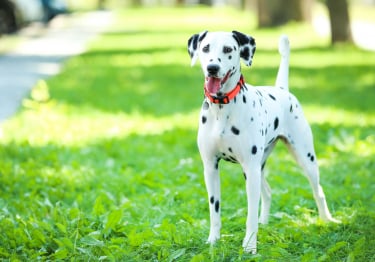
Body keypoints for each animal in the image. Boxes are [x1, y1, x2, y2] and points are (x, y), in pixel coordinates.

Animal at [188, 30, 340, 254]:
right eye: (205, 48)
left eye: (228, 49)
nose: (212, 68)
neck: (222, 109)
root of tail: (282, 88)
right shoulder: (211, 167)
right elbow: (214, 210)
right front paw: (213, 241)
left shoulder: (250, 170)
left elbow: (250, 214)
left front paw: (250, 246)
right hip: (258, 167)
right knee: (267, 192)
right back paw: (265, 222)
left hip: (304, 159)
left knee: (318, 191)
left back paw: (326, 220)